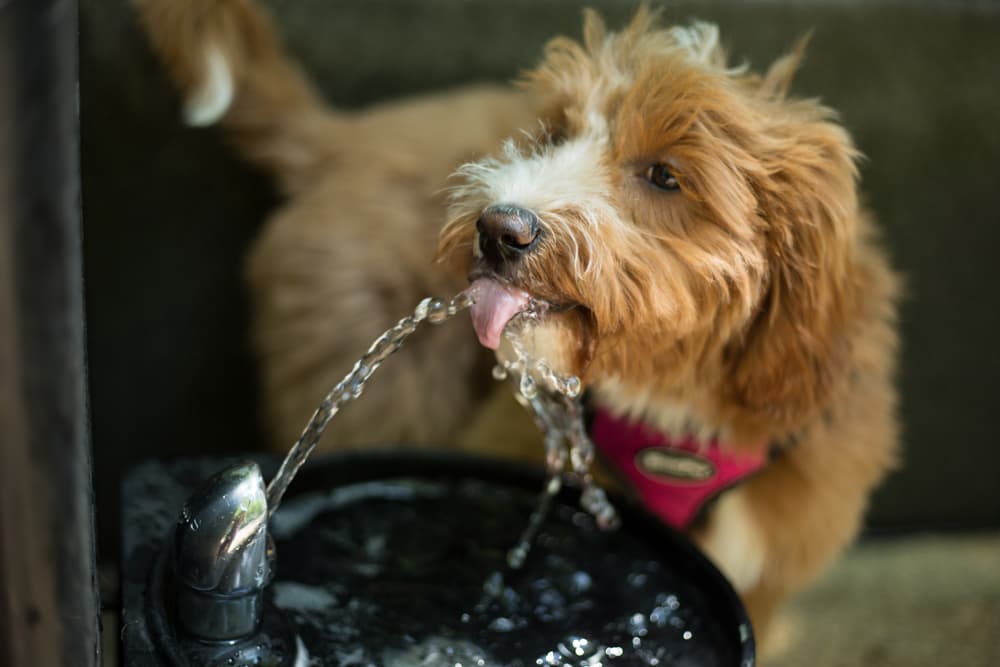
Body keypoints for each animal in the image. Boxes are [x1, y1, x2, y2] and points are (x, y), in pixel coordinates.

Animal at [135, 0, 900, 648]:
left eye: (665, 175)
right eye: (556, 133)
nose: (500, 228)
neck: (671, 405)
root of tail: (343, 136)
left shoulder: (766, 574)